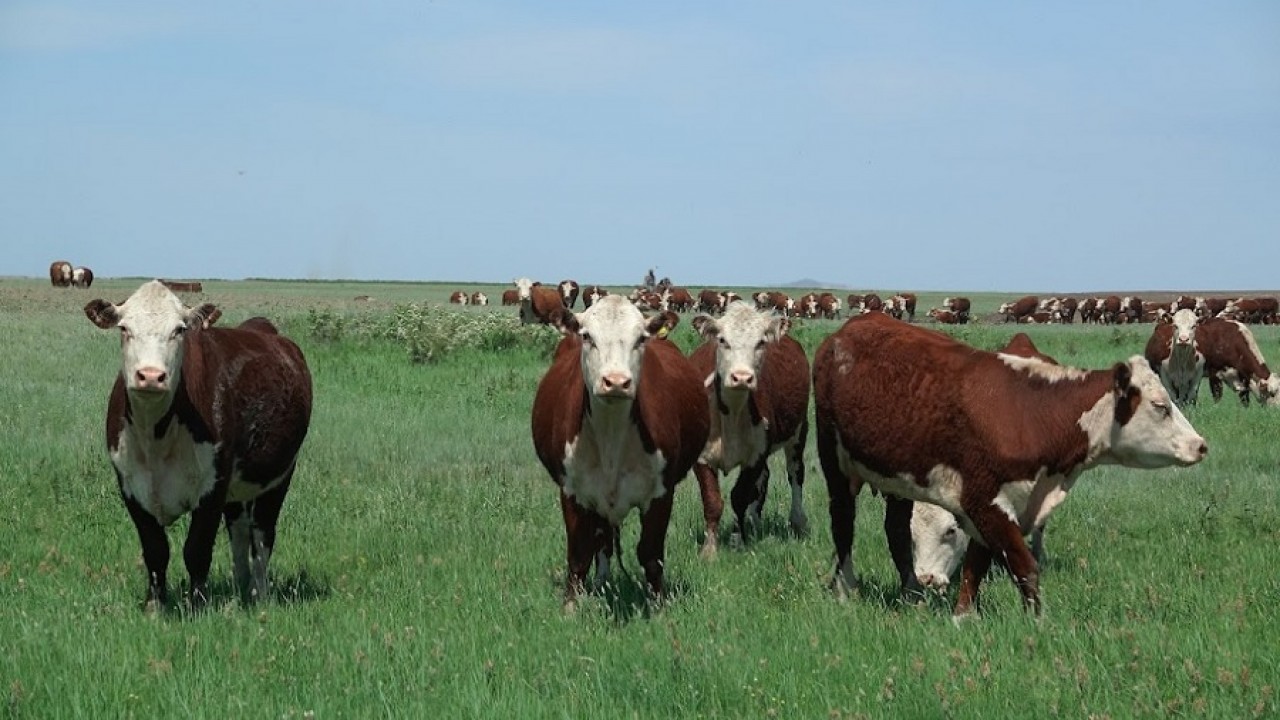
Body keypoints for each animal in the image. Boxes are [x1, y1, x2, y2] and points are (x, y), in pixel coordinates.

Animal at [83, 279, 312, 604]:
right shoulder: (129, 485)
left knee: (262, 535)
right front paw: (155, 604)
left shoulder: (213, 485)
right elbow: (155, 550)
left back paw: (259, 594)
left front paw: (198, 604)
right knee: (239, 532)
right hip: (237, 489)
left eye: (179, 330)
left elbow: (197, 550)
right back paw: (240, 588)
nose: (150, 376)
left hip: (279, 476)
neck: (155, 438)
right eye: (124, 328)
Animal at [529, 293, 711, 604]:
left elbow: (651, 555)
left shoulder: (661, 493)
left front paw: (658, 605)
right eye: (587, 336)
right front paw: (571, 606)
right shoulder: (572, 491)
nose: (615, 382)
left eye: (640, 338)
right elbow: (579, 554)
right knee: (602, 542)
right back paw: (601, 582)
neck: (611, 435)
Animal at [691, 301, 808, 556]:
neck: (732, 413)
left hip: (798, 432)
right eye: (722, 340)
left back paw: (797, 521)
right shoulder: (701, 457)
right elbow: (712, 501)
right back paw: (755, 522)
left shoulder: (756, 454)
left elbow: (740, 496)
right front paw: (709, 550)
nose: (742, 377)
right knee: (764, 478)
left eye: (760, 342)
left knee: (795, 474)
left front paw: (738, 540)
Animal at [814, 311, 1203, 614]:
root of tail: (848, 330)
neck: (1029, 412)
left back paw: (910, 592)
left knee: (894, 528)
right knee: (842, 523)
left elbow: (976, 565)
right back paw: (847, 589)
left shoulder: (995, 507)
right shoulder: (985, 503)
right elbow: (1023, 567)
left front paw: (963, 617)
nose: (1200, 445)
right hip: (836, 465)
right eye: (1160, 406)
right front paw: (1038, 624)